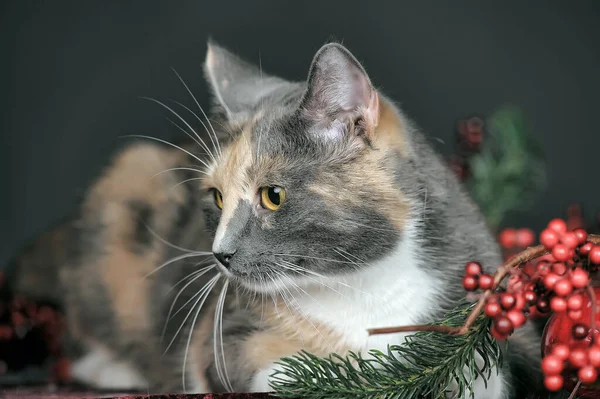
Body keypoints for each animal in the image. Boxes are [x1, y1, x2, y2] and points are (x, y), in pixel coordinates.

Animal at [9, 39, 544, 396]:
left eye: (272, 196)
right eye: (216, 197)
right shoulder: (220, 333)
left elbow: (496, 365)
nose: (220, 255)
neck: (362, 288)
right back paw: (111, 368)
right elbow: (260, 363)